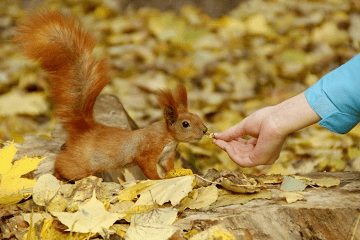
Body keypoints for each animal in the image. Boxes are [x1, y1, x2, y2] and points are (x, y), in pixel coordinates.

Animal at [14, 10, 207, 180]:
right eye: (185, 124)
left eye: (197, 116)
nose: (205, 130)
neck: (167, 137)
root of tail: (87, 129)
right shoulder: (147, 152)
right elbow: (149, 169)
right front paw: (158, 180)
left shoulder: (167, 156)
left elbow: (169, 167)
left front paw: (178, 173)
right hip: (80, 164)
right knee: (63, 164)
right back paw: (59, 175)